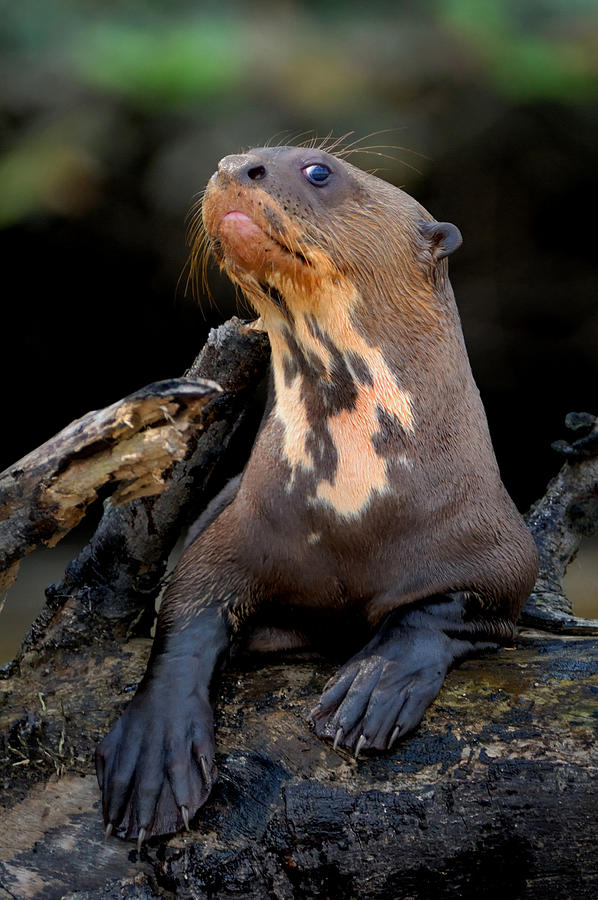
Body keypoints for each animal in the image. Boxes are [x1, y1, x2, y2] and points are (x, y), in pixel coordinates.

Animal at [97, 146, 540, 844]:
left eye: (319, 171)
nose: (234, 165)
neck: (352, 501)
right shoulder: (239, 529)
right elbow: (184, 612)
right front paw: (154, 756)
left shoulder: (498, 546)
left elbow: (458, 603)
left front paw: (372, 689)